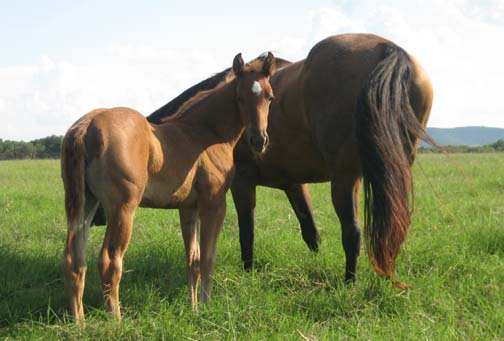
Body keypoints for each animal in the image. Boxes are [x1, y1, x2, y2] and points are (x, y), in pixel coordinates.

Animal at [62, 52, 280, 318]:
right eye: (239, 96)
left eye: (269, 96)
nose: (259, 141)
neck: (205, 134)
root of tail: (87, 125)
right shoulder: (214, 204)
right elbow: (207, 259)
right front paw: (206, 308)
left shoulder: (188, 208)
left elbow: (192, 261)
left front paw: (193, 308)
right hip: (122, 209)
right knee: (109, 262)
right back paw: (116, 320)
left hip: (85, 205)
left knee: (74, 261)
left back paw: (80, 322)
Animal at [143, 33, 434, 284]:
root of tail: (388, 49)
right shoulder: (294, 184)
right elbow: (311, 231)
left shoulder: (241, 182)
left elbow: (247, 231)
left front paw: (248, 272)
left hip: (346, 178)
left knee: (352, 232)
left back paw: (349, 283)